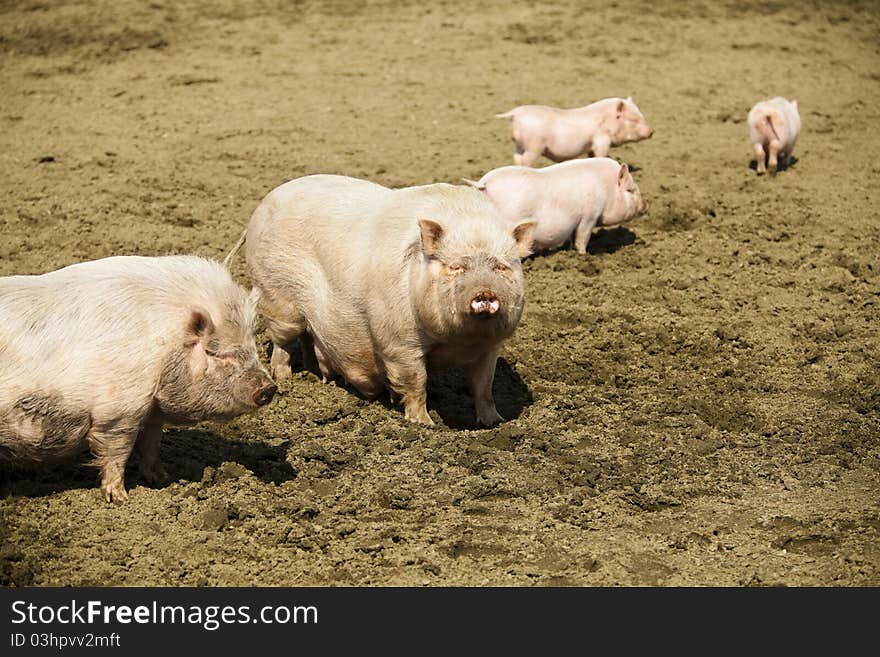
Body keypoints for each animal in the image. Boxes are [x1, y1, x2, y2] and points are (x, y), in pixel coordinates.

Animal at [0, 254, 276, 500]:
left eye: (253, 345)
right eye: (214, 352)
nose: (269, 388)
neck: (164, 348)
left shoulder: (152, 411)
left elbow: (151, 445)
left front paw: (162, 480)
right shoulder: (119, 411)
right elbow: (117, 452)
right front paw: (120, 498)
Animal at [237, 174, 532, 428]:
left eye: (501, 267)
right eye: (456, 267)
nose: (485, 292)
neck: (458, 341)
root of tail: (266, 202)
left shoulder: (490, 346)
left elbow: (484, 387)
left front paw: (495, 422)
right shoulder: (398, 341)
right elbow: (416, 382)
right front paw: (425, 424)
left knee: (309, 338)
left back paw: (318, 377)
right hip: (277, 299)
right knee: (282, 343)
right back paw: (286, 380)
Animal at [468, 156, 648, 254]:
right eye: (630, 190)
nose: (645, 205)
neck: (607, 189)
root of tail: (483, 183)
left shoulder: (575, 221)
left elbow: (571, 238)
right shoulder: (589, 216)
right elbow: (582, 238)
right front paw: (583, 255)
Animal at [496, 98, 652, 168]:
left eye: (641, 114)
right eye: (633, 119)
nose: (652, 131)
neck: (606, 120)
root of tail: (516, 113)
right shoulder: (601, 140)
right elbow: (601, 154)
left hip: (519, 146)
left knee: (516, 158)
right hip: (533, 147)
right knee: (525, 161)